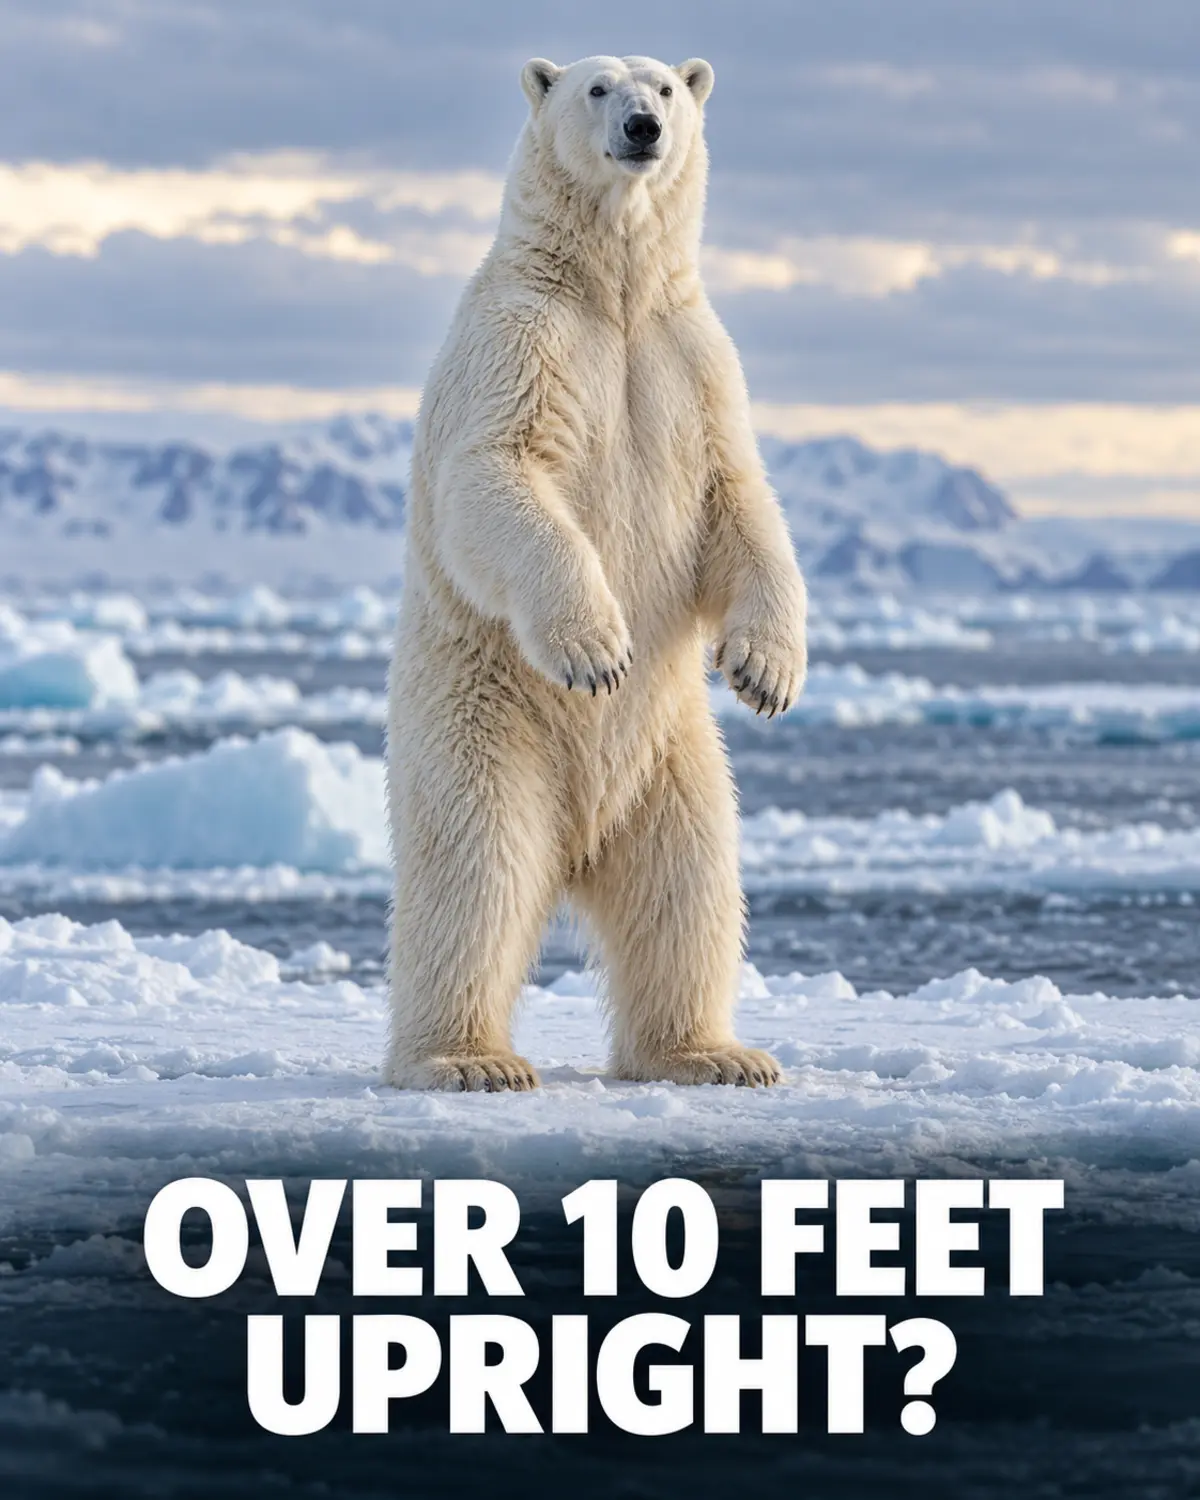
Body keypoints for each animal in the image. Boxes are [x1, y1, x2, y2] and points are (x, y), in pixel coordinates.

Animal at [385, 53, 808, 1091]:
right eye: (596, 89)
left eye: (666, 87)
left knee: (689, 885)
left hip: (674, 758)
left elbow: (738, 499)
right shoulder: (518, 342)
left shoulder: (694, 361)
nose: (644, 128)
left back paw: (711, 1053)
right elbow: (497, 474)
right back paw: (465, 1059)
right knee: (478, 873)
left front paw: (765, 669)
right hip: (483, 720)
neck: (609, 295)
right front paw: (596, 647)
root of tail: (579, 843)